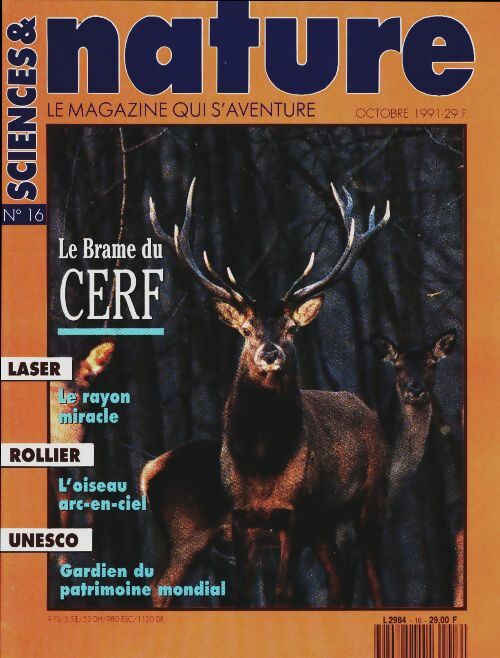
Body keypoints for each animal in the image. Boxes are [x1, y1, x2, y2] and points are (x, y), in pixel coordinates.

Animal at [142, 178, 391, 608]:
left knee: (367, 579)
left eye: (291, 328)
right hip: (186, 532)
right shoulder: (242, 518)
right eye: (247, 330)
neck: (262, 464)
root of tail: (146, 473)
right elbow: (244, 593)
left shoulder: (293, 514)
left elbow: (282, 592)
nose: (270, 353)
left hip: (365, 501)